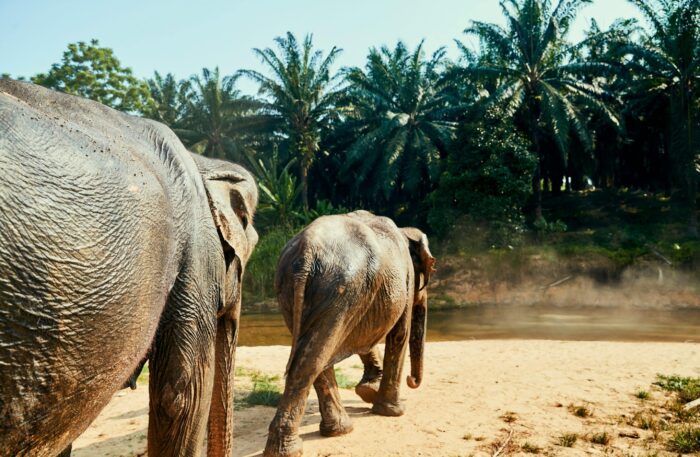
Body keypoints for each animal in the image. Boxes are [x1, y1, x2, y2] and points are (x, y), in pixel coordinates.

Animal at [264, 210, 435, 457]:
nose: (412, 380)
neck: (404, 231)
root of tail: (306, 252)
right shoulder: (407, 278)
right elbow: (399, 333)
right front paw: (394, 411)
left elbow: (365, 335)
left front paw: (368, 392)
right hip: (339, 289)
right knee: (313, 359)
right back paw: (290, 449)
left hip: (294, 290)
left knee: (317, 353)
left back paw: (338, 430)